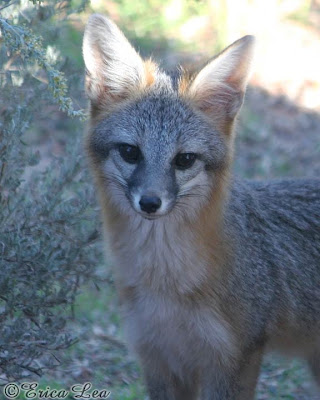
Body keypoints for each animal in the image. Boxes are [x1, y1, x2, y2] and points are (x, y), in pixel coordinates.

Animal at [82, 14, 320, 398]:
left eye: (185, 160)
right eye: (131, 152)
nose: (150, 202)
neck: (165, 284)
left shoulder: (232, 361)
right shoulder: (158, 358)